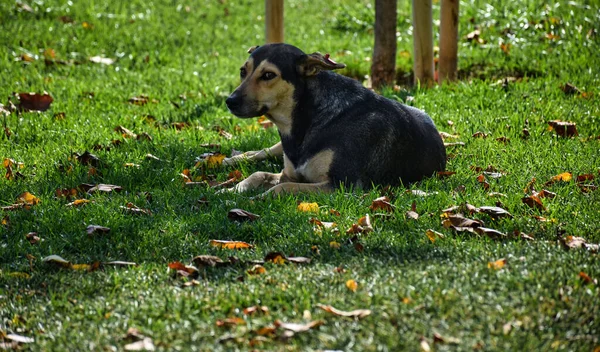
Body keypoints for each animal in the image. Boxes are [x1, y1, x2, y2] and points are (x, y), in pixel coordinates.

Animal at [224, 43, 446, 195]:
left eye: (269, 75)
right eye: (243, 71)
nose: (230, 101)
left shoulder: (341, 184)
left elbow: (284, 187)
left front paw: (256, 198)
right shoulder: (288, 172)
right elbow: (257, 174)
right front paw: (230, 191)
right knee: (263, 151)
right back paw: (229, 160)